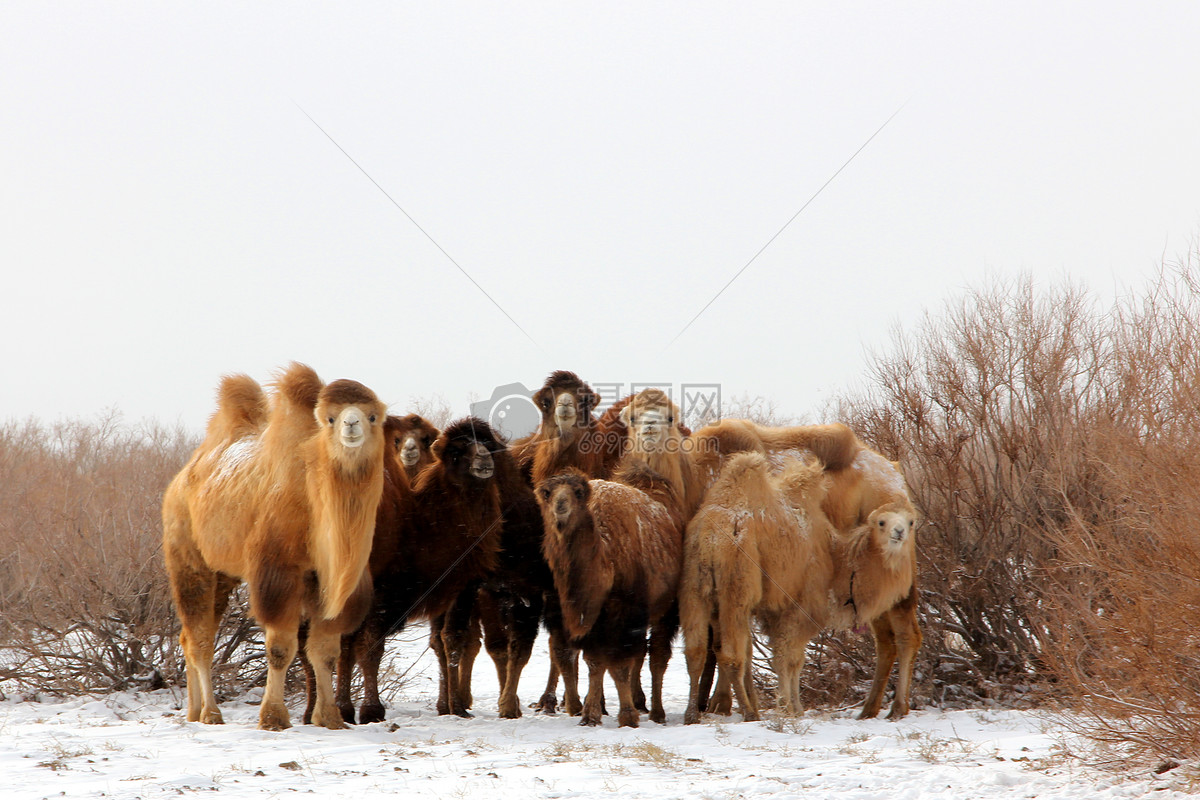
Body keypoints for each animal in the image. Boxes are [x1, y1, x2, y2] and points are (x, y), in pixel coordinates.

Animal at [163, 362, 384, 734]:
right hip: (188, 559)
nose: (351, 425)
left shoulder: (324, 578)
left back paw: (193, 712)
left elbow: (325, 651)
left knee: (187, 635)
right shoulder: (279, 572)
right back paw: (211, 713)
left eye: (372, 416)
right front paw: (273, 718)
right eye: (330, 418)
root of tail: (179, 482)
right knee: (201, 639)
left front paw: (330, 718)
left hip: (223, 573)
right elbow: (281, 648)